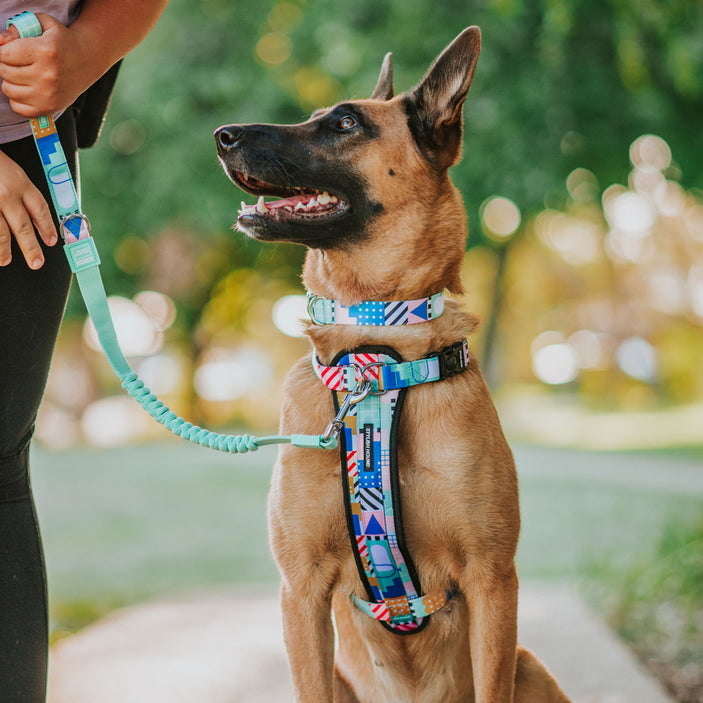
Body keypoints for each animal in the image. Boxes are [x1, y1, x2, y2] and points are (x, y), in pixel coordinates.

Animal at [212, 24, 568, 700]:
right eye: (315, 115)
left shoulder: (492, 581)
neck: (372, 349)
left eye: (345, 123)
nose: (222, 135)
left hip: (529, 664)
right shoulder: (301, 592)